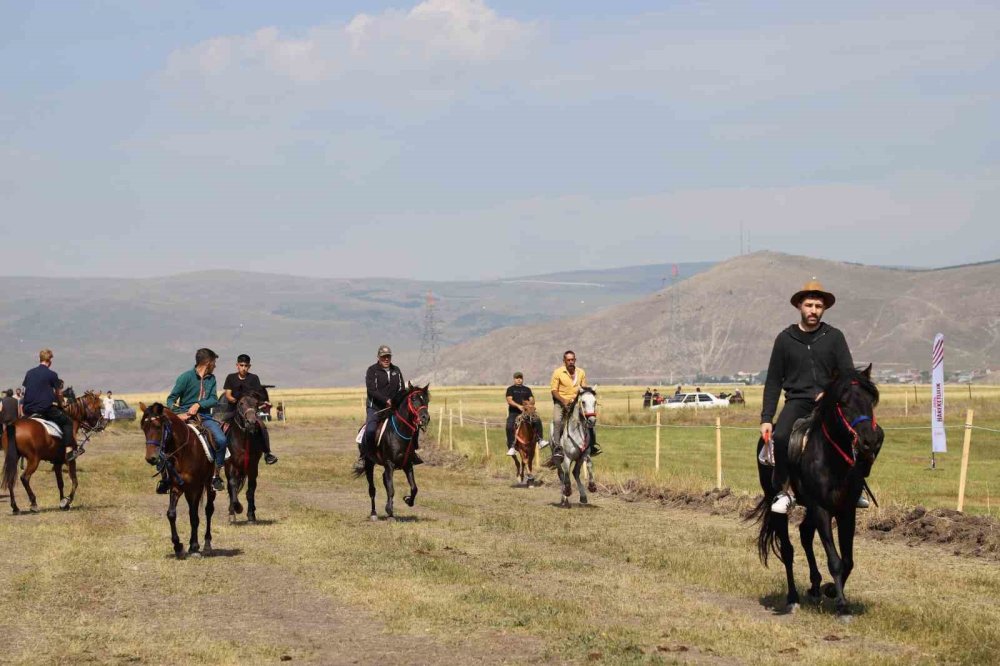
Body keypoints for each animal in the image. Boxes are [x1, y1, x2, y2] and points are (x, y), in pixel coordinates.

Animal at [139, 402, 227, 556]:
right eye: (144, 427)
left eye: (157, 426)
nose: (151, 458)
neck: (183, 452)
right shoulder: (176, 486)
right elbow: (171, 514)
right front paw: (178, 546)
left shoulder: (195, 488)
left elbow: (194, 516)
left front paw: (194, 546)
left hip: (208, 485)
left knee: (208, 510)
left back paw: (207, 543)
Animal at [225, 392, 266, 520]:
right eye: (241, 403)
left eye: (256, 403)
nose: (251, 422)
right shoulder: (231, 464)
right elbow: (232, 485)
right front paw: (237, 508)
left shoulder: (252, 466)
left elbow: (250, 490)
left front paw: (251, 515)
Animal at [352, 384, 430, 520]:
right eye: (413, 399)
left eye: (426, 400)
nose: (425, 418)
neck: (399, 433)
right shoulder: (389, 464)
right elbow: (391, 489)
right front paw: (389, 510)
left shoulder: (407, 465)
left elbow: (414, 488)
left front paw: (407, 500)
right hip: (369, 464)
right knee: (372, 489)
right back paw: (374, 513)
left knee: (384, 480)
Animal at [752, 366, 884, 616]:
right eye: (843, 402)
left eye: (871, 400)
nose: (869, 441)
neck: (832, 461)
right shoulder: (822, 509)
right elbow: (835, 560)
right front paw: (842, 607)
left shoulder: (846, 511)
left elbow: (848, 560)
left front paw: (831, 589)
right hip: (781, 505)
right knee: (788, 550)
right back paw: (793, 598)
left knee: (804, 533)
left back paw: (814, 586)